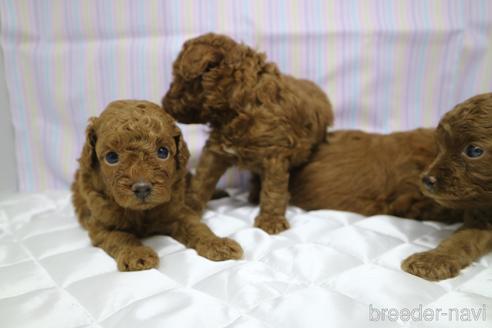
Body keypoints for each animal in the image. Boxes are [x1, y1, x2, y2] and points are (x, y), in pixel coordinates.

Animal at [70, 100, 242, 272]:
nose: (142, 188)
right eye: (111, 157)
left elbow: (196, 227)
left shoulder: (178, 212)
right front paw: (136, 254)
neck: (142, 212)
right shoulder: (102, 225)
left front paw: (217, 244)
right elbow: (120, 237)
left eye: (162, 152)